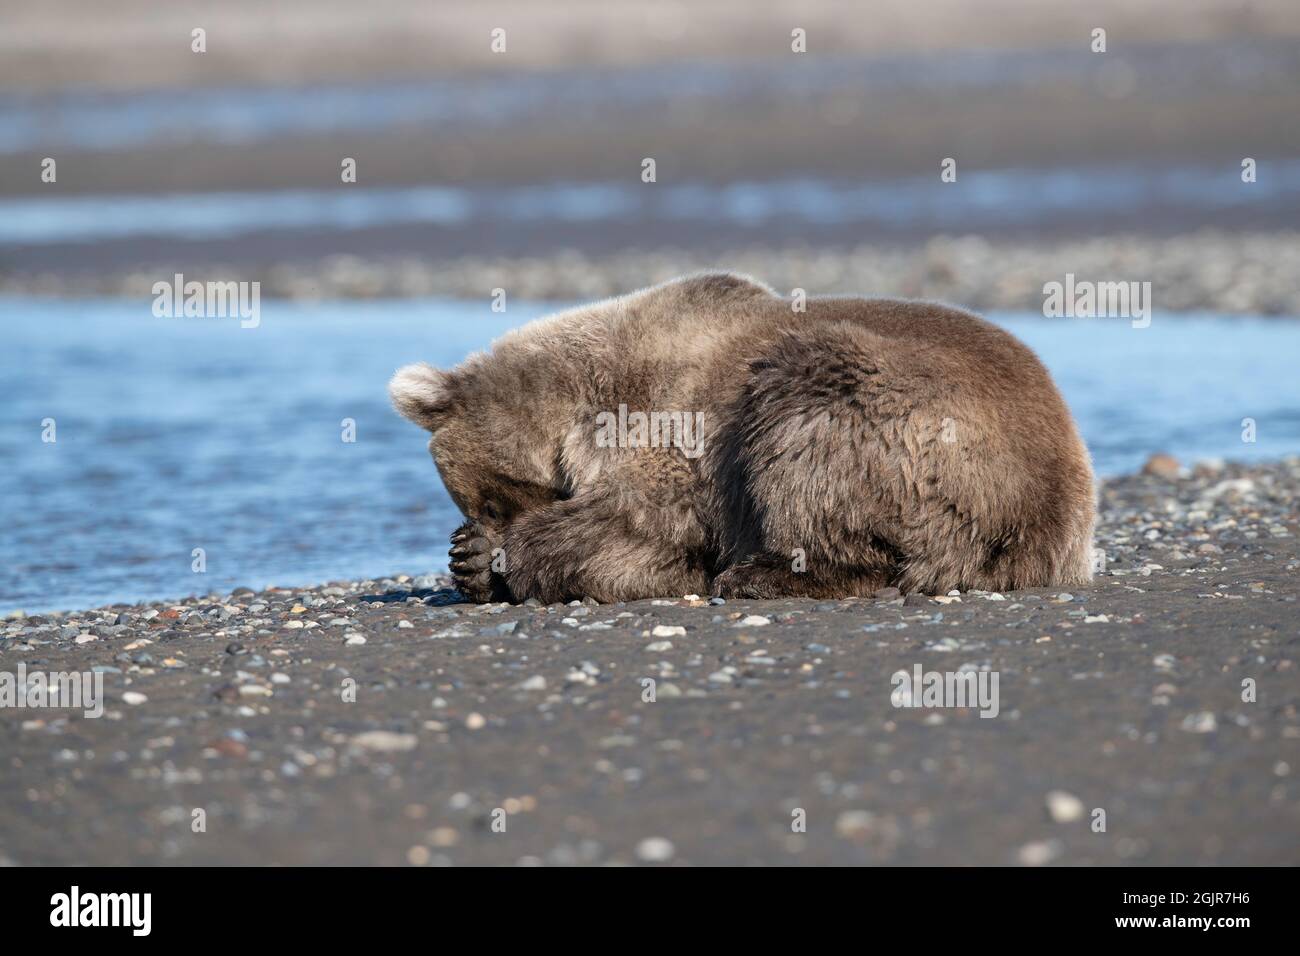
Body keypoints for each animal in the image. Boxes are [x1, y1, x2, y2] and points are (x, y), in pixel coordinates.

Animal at [389, 273, 1096, 604]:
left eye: (490, 498)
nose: (479, 527)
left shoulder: (674, 430)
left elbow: (644, 526)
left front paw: (498, 555)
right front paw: (472, 560)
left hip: (920, 439)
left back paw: (766, 574)